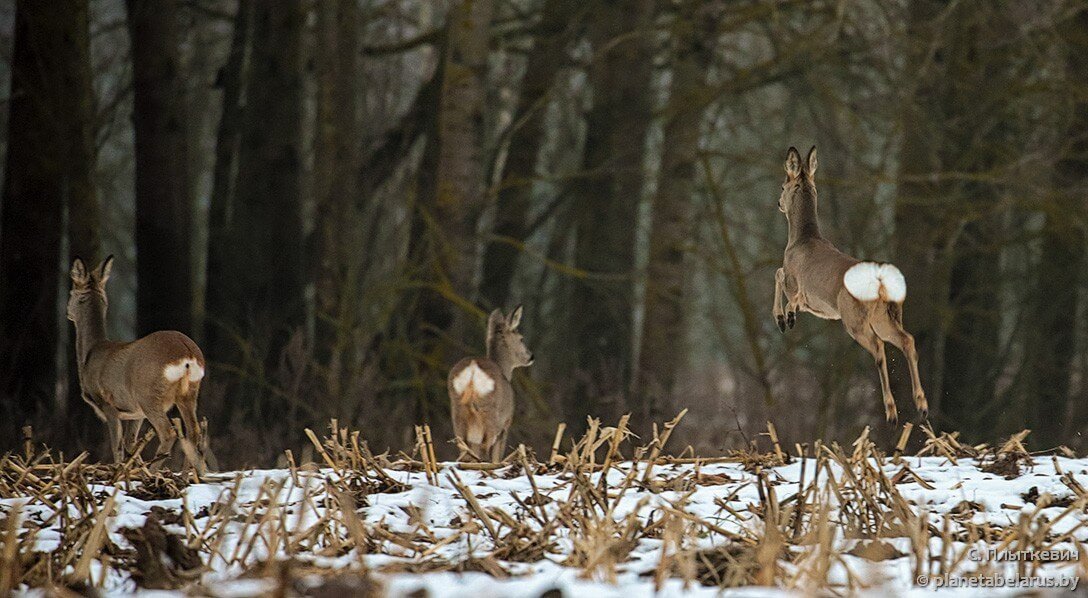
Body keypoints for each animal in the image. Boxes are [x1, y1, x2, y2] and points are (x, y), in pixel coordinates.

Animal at [67, 255, 207, 476]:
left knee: (168, 432)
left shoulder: (108, 403)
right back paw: (194, 475)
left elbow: (117, 446)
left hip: (148, 393)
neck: (92, 352)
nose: (68, 312)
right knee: (194, 432)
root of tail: (188, 354)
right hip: (188, 393)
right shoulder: (135, 412)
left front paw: (119, 473)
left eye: (71, 292)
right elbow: (130, 443)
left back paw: (154, 471)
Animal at [446, 306, 535, 461]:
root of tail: (473, 370)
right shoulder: (506, 423)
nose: (531, 356)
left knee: (465, 451)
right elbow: (497, 456)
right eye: (521, 338)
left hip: (458, 411)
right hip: (490, 413)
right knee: (485, 452)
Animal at [774, 146, 926, 424]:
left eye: (782, 185)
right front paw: (785, 317)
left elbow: (779, 275)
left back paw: (892, 412)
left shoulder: (795, 284)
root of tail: (881, 284)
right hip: (884, 317)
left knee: (878, 347)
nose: (778, 202)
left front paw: (784, 318)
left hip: (853, 317)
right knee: (907, 340)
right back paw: (921, 406)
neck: (801, 240)